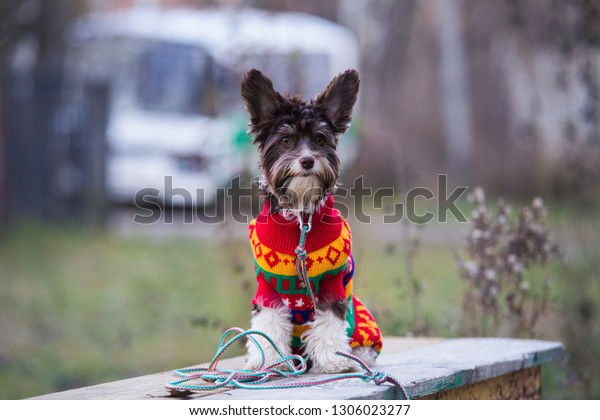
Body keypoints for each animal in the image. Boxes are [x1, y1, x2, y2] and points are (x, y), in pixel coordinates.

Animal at [241, 69, 382, 374]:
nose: (307, 160)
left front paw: (332, 361)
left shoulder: (332, 285)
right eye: (285, 140)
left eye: (319, 139)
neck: (300, 218)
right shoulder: (267, 289)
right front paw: (268, 360)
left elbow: (328, 324)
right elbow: (268, 324)